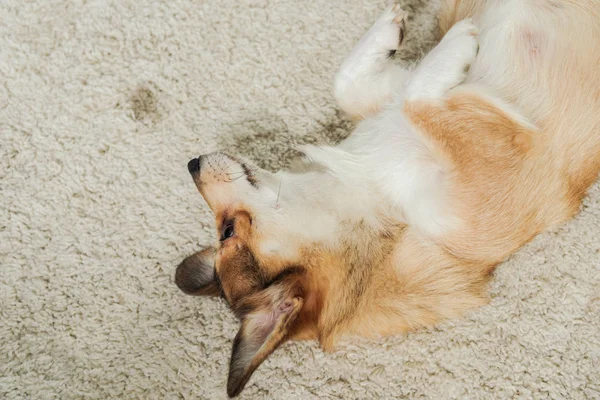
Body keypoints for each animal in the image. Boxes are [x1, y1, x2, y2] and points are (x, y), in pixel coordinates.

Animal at [176, 0, 600, 396]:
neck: (370, 197)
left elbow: (349, 85)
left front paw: (390, 30)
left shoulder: (385, 104)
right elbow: (418, 98)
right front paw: (459, 39)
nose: (192, 163)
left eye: (226, 231)